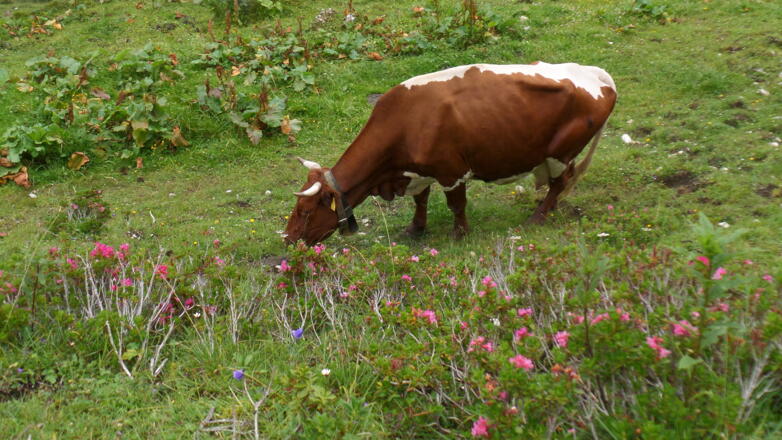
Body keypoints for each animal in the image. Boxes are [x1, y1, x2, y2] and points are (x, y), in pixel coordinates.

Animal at [284, 62, 617, 246]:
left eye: (305, 211)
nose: (287, 239)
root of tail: (597, 74)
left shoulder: (451, 171)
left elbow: (456, 204)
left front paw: (459, 234)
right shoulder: (418, 171)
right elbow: (420, 200)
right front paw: (415, 228)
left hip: (561, 153)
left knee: (559, 182)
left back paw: (539, 216)